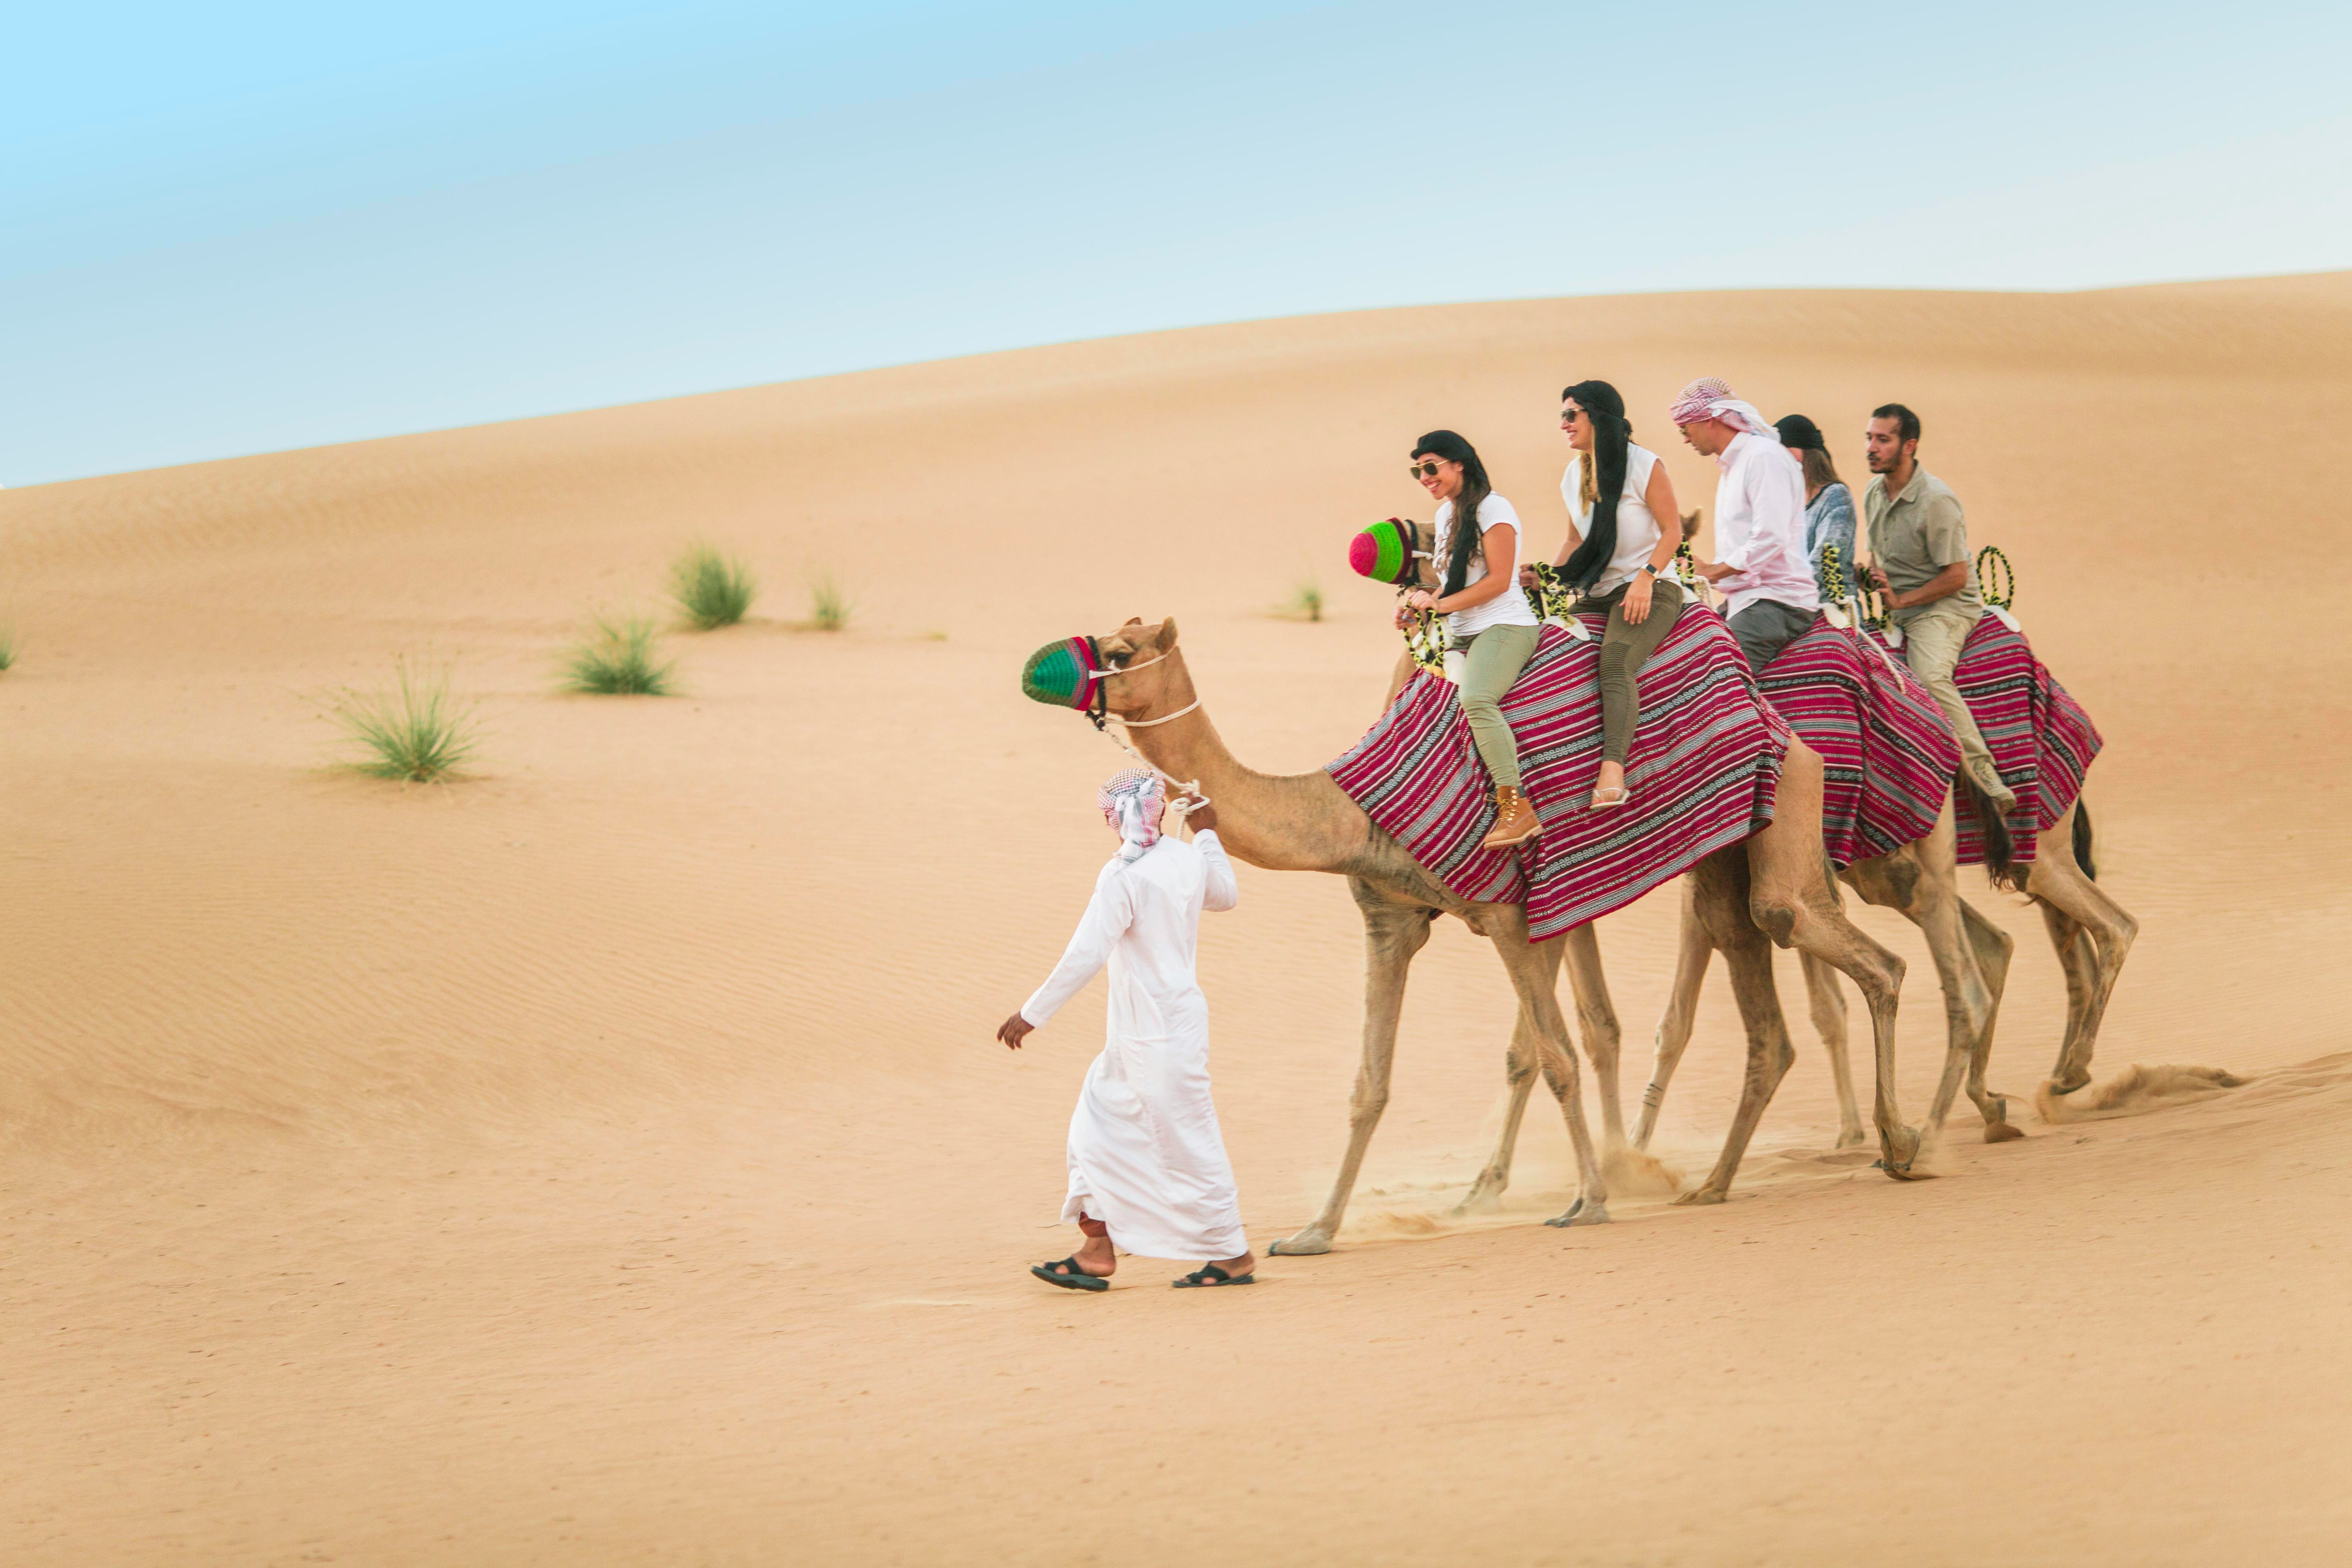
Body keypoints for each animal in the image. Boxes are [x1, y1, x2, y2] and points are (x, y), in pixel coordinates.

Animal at [1074, 615, 1919, 1257]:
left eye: (1119, 652)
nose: (1061, 668)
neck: (1348, 810)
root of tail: (1765, 703)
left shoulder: (1511, 917)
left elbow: (1556, 1057)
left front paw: (1589, 1200)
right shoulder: (1390, 921)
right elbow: (1370, 1083)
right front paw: (1314, 1232)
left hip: (1790, 806)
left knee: (1847, 946)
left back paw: (1903, 1141)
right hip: (1721, 859)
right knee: (1770, 993)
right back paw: (1723, 1181)